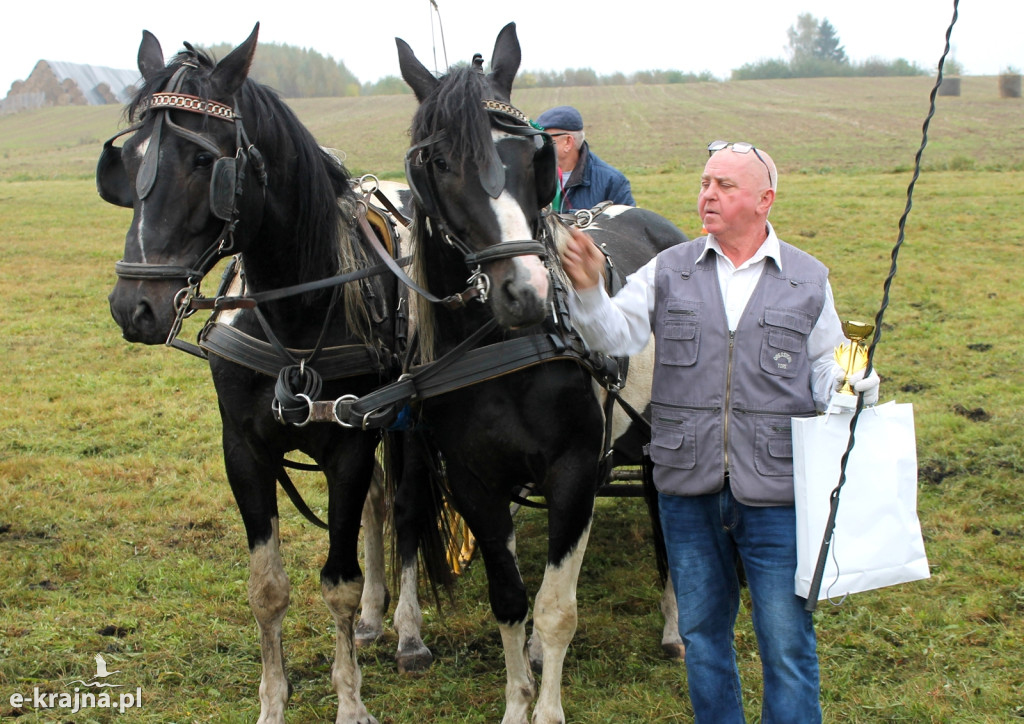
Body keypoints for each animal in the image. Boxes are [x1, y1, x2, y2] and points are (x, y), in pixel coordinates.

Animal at [101, 25, 405, 720]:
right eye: (128, 161)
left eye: (202, 162)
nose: (134, 306)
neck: (297, 314)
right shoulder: (241, 449)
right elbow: (267, 588)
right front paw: (273, 701)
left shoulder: (349, 446)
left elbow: (338, 583)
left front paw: (351, 702)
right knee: (381, 501)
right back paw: (379, 618)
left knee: (403, 504)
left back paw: (409, 629)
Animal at [385, 22, 688, 724]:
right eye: (439, 163)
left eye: (531, 157)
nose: (525, 290)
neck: (509, 351)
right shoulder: (474, 481)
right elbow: (510, 601)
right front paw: (516, 699)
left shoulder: (574, 471)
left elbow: (554, 611)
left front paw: (545, 708)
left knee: (667, 517)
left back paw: (673, 625)